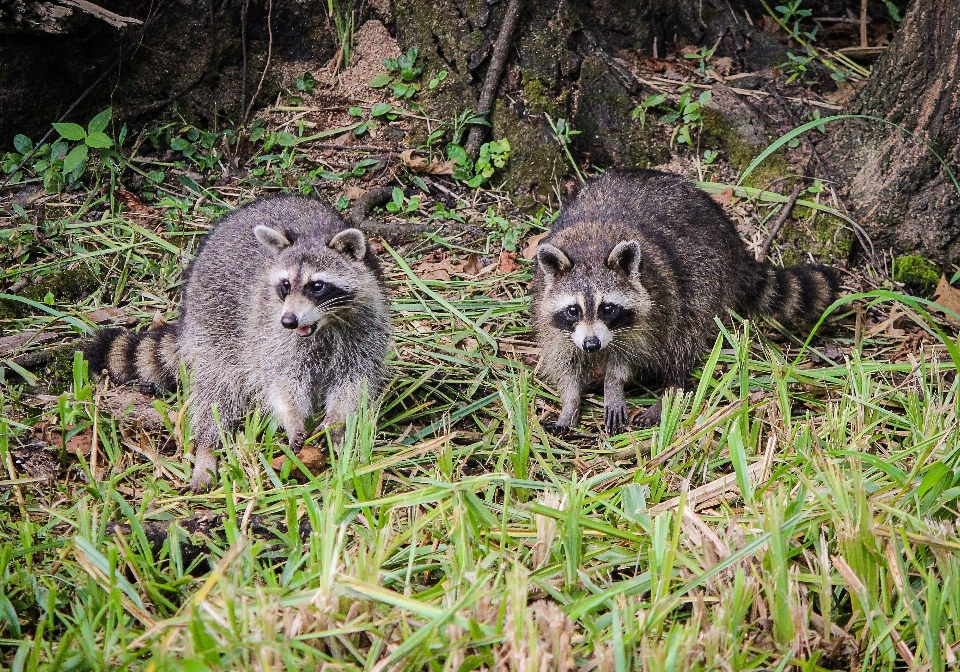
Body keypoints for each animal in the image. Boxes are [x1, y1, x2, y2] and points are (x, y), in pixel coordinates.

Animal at [85, 193, 390, 488]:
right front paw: (292, 417)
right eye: (285, 285)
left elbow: (355, 382)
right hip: (213, 325)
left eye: (317, 286)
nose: (288, 321)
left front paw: (336, 422)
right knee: (215, 393)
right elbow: (280, 381)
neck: (325, 325)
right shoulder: (271, 334)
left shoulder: (366, 330)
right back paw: (206, 450)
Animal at [532, 169, 840, 436]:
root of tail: (733, 242)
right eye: (573, 310)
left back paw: (672, 389)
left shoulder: (649, 311)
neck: (589, 249)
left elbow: (628, 357)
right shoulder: (553, 320)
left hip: (707, 278)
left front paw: (614, 386)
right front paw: (570, 403)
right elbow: (565, 363)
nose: (592, 345)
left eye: (608, 308)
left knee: (683, 334)